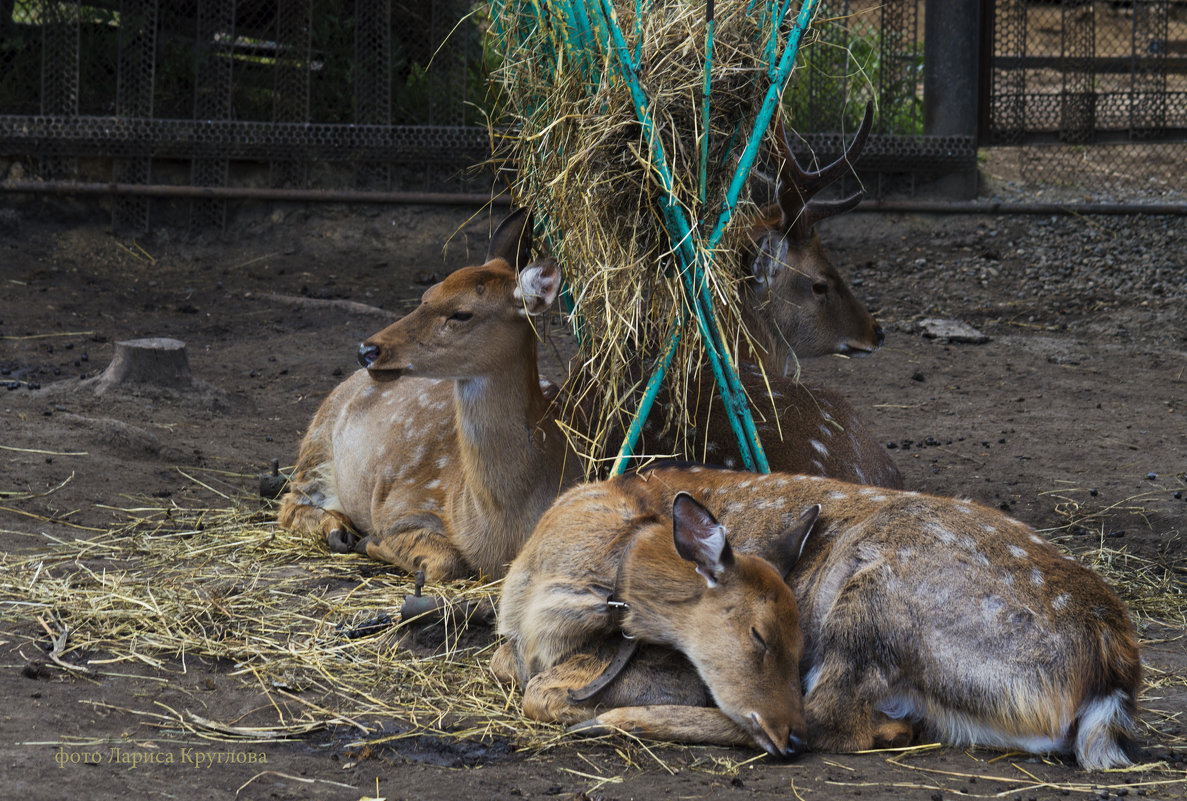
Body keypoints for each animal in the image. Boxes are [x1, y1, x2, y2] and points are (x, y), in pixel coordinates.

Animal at [275, 210, 576, 579]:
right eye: (427, 293)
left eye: (462, 313)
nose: (367, 350)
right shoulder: (402, 504)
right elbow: (446, 561)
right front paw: (371, 541)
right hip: (317, 444)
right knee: (290, 501)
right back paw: (339, 531)